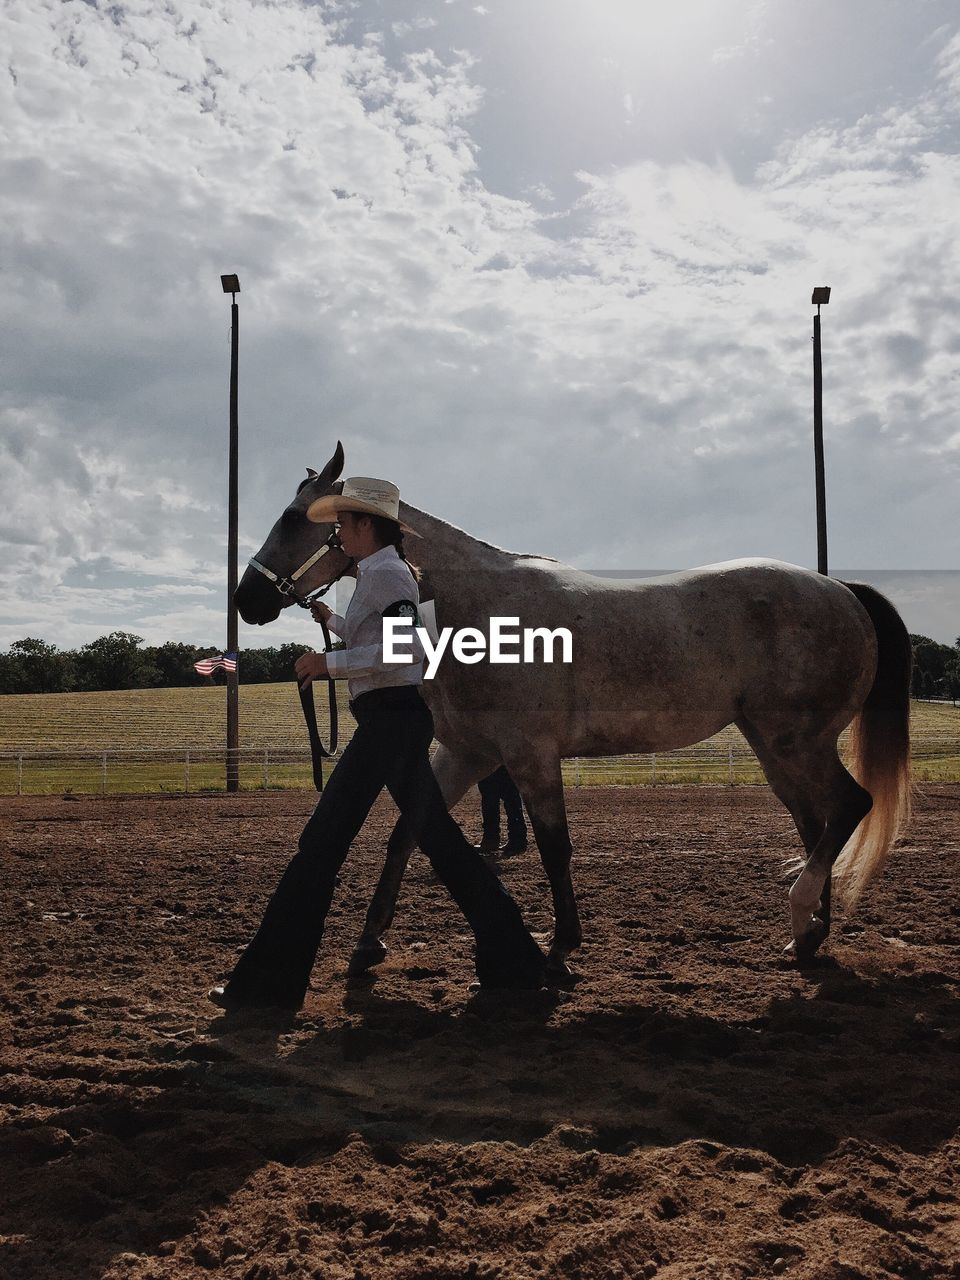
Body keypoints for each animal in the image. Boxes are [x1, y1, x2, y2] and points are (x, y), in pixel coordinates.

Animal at [236, 442, 911, 977]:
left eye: (294, 518)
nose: (248, 600)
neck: (479, 609)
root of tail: (842, 590)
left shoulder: (531, 757)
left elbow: (555, 846)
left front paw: (561, 945)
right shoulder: (465, 754)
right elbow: (407, 835)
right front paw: (369, 943)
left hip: (795, 740)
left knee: (849, 805)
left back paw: (801, 914)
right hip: (774, 747)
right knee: (818, 822)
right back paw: (812, 935)